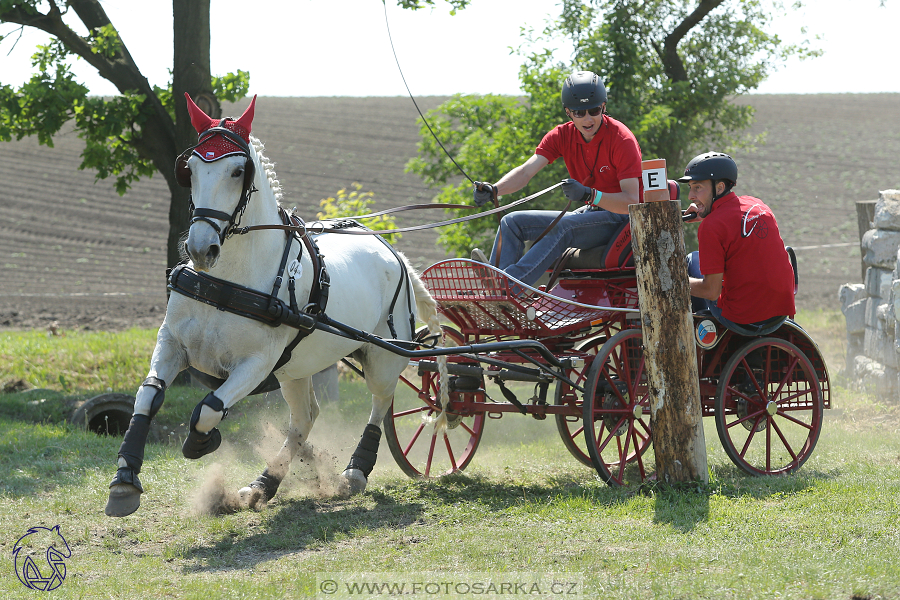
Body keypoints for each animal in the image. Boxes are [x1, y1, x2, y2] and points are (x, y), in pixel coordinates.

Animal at [104, 94, 440, 516]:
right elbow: (148, 395)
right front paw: (124, 480)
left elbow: (209, 408)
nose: (200, 248)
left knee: (381, 402)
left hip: (382, 356)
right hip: (295, 369)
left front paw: (202, 442)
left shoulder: (257, 362)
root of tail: (392, 253)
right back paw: (265, 483)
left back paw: (356, 470)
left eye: (237, 171)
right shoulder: (173, 343)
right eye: (191, 168)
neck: (227, 281)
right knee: (305, 417)